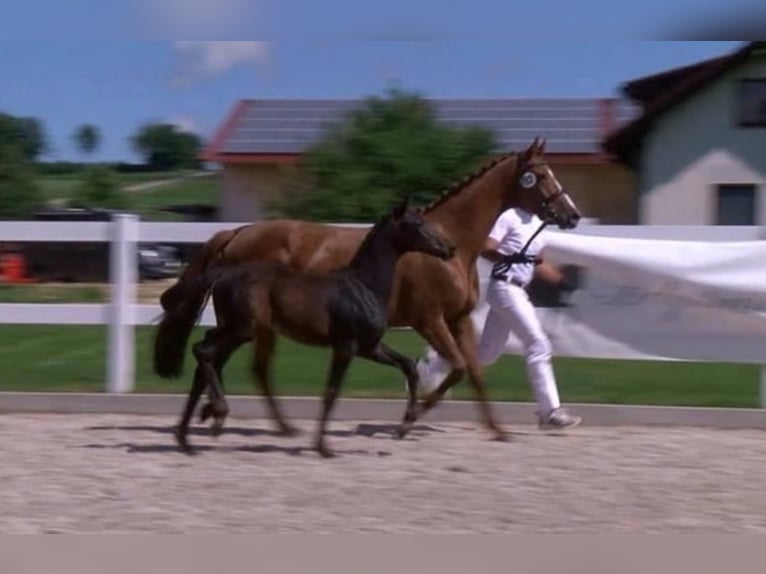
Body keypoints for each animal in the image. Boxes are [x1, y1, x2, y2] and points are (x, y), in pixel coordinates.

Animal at [154, 138, 584, 440]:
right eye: (540, 175)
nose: (572, 215)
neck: (450, 245)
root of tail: (235, 233)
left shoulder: (459, 320)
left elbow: (474, 372)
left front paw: (498, 430)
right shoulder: (430, 320)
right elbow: (457, 368)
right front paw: (413, 415)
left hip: (248, 324)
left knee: (221, 357)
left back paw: (215, 416)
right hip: (253, 325)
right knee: (235, 362)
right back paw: (245, 420)